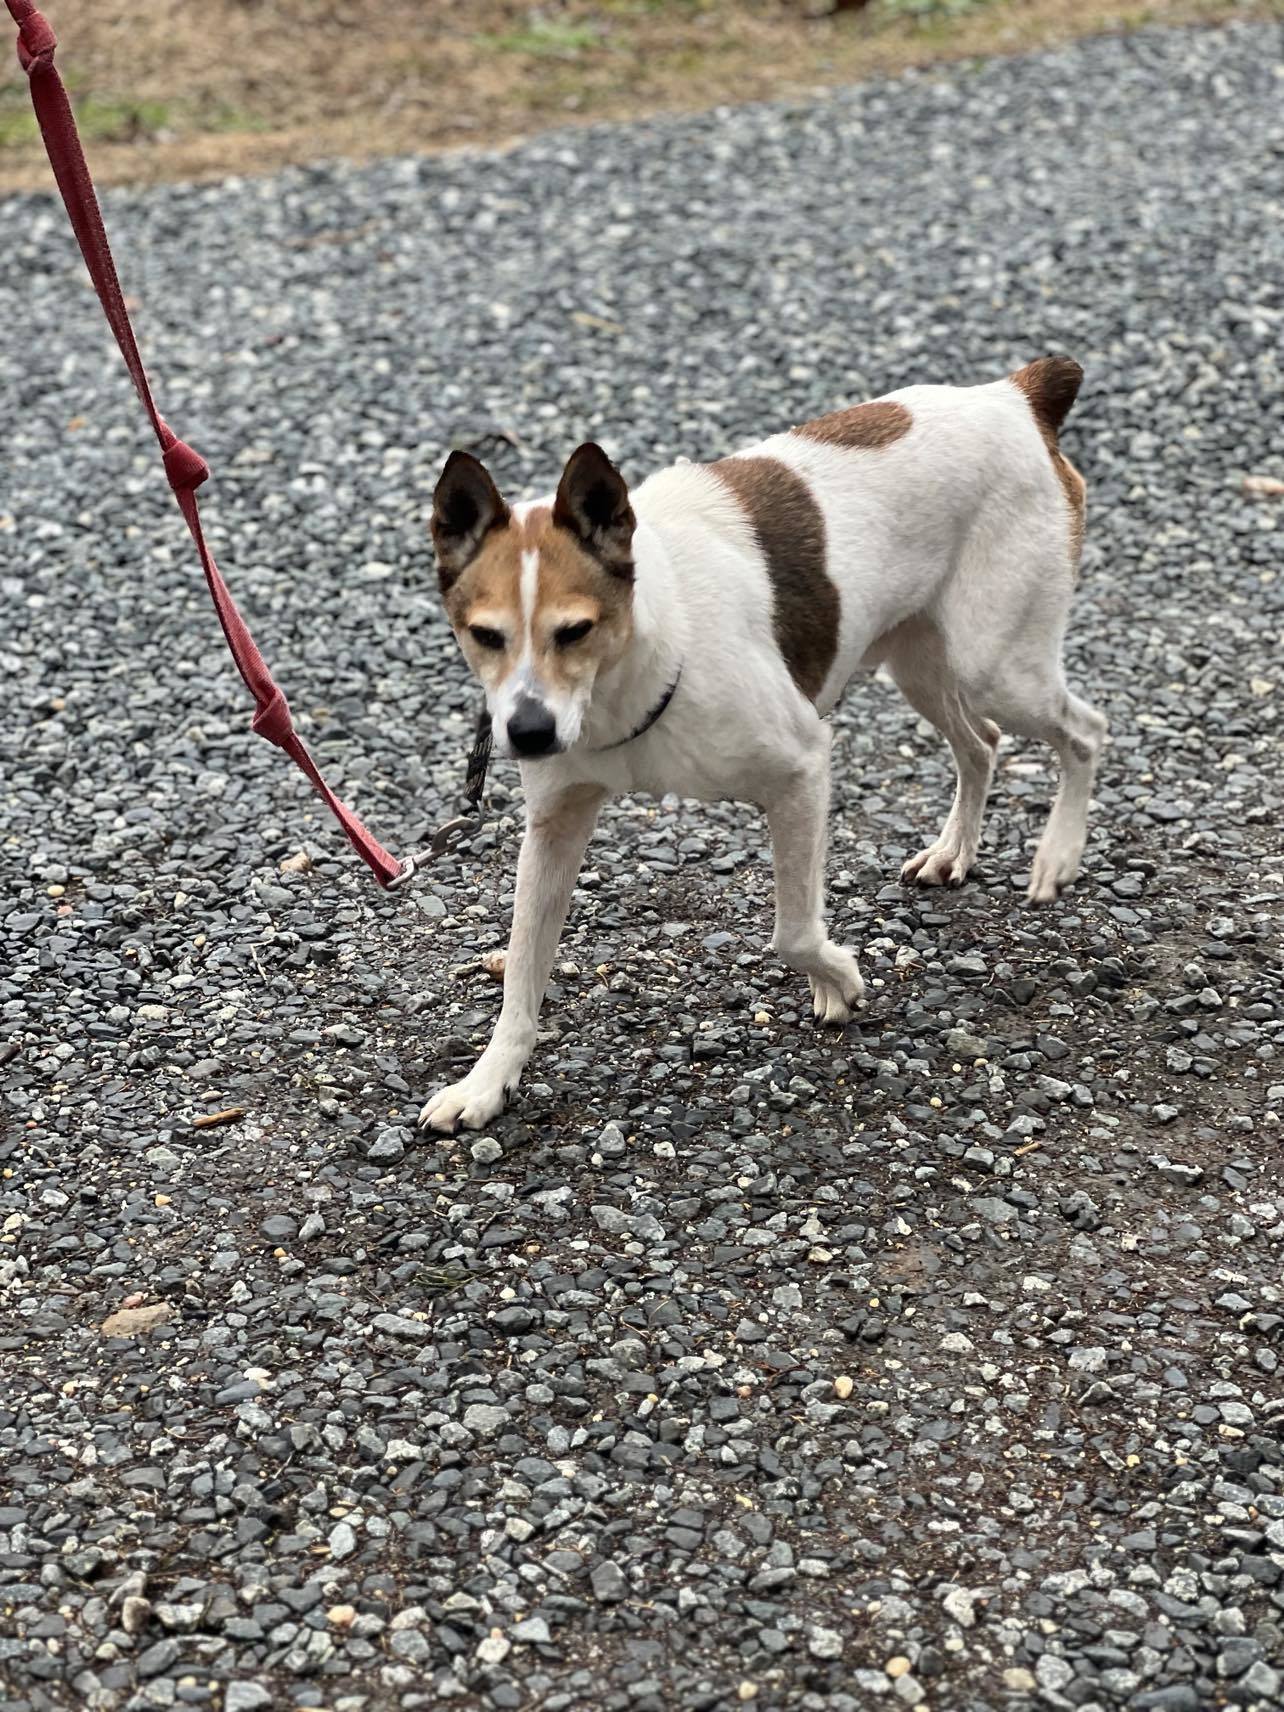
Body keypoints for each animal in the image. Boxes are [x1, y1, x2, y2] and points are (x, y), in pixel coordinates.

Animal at [422, 357, 1109, 1136]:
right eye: (486, 635)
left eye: (575, 630)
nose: (530, 733)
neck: (643, 651)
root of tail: (1017, 394)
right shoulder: (555, 826)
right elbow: (521, 971)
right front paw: (487, 1081)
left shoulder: (802, 768)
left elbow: (794, 932)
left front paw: (839, 981)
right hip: (923, 663)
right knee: (982, 744)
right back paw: (953, 851)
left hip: (998, 666)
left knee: (1084, 732)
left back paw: (1058, 856)